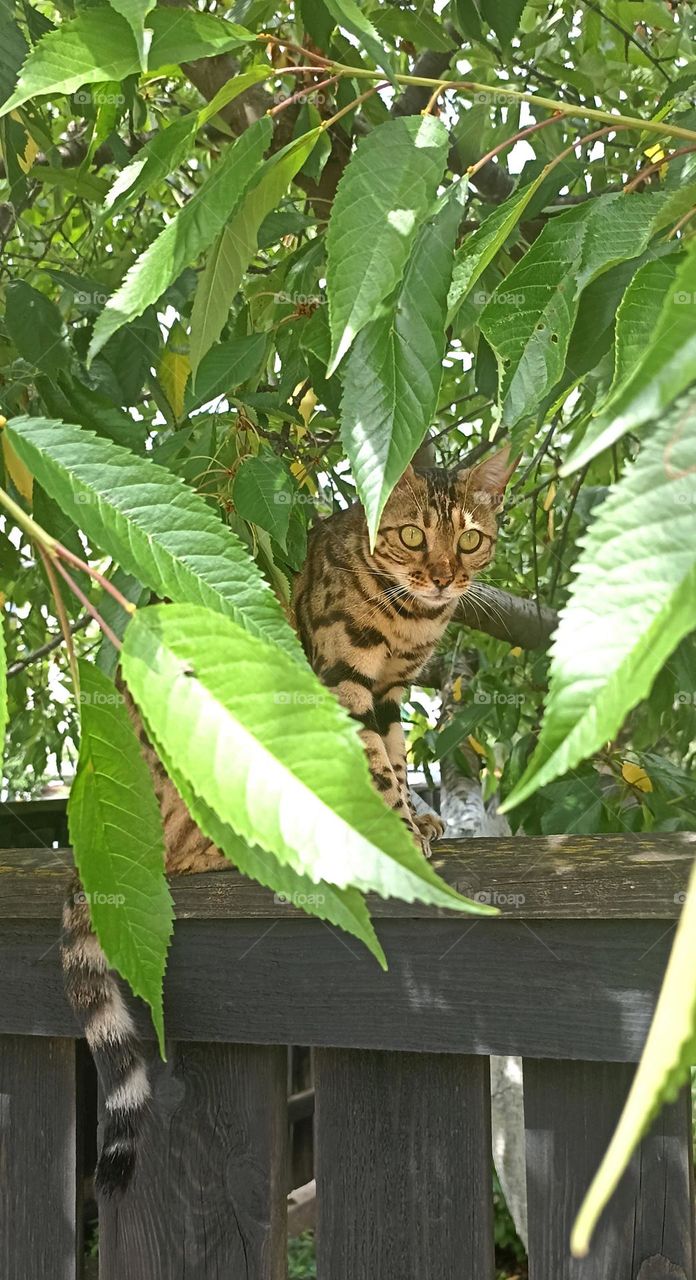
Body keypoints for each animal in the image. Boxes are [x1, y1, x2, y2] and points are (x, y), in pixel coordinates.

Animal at [59, 445, 514, 1192]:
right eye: (413, 536)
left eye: (470, 539)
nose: (446, 577)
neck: (407, 618)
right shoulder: (342, 678)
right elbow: (373, 768)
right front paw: (394, 835)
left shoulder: (390, 691)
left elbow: (396, 755)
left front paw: (415, 824)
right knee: (182, 853)